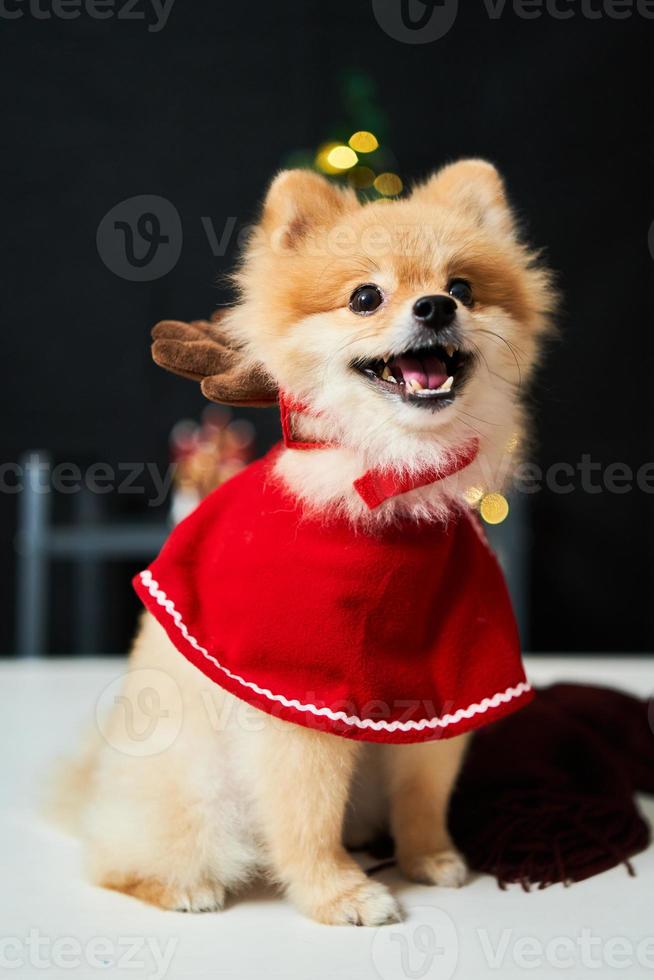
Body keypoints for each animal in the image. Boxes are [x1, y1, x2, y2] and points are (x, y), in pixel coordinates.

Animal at [56, 161, 556, 928]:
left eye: (464, 287)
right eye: (365, 297)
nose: (436, 307)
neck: (389, 473)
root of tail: (93, 788)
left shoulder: (448, 679)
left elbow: (425, 789)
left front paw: (430, 856)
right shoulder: (299, 700)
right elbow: (307, 815)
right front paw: (338, 892)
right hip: (189, 795)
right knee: (121, 858)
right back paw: (180, 887)